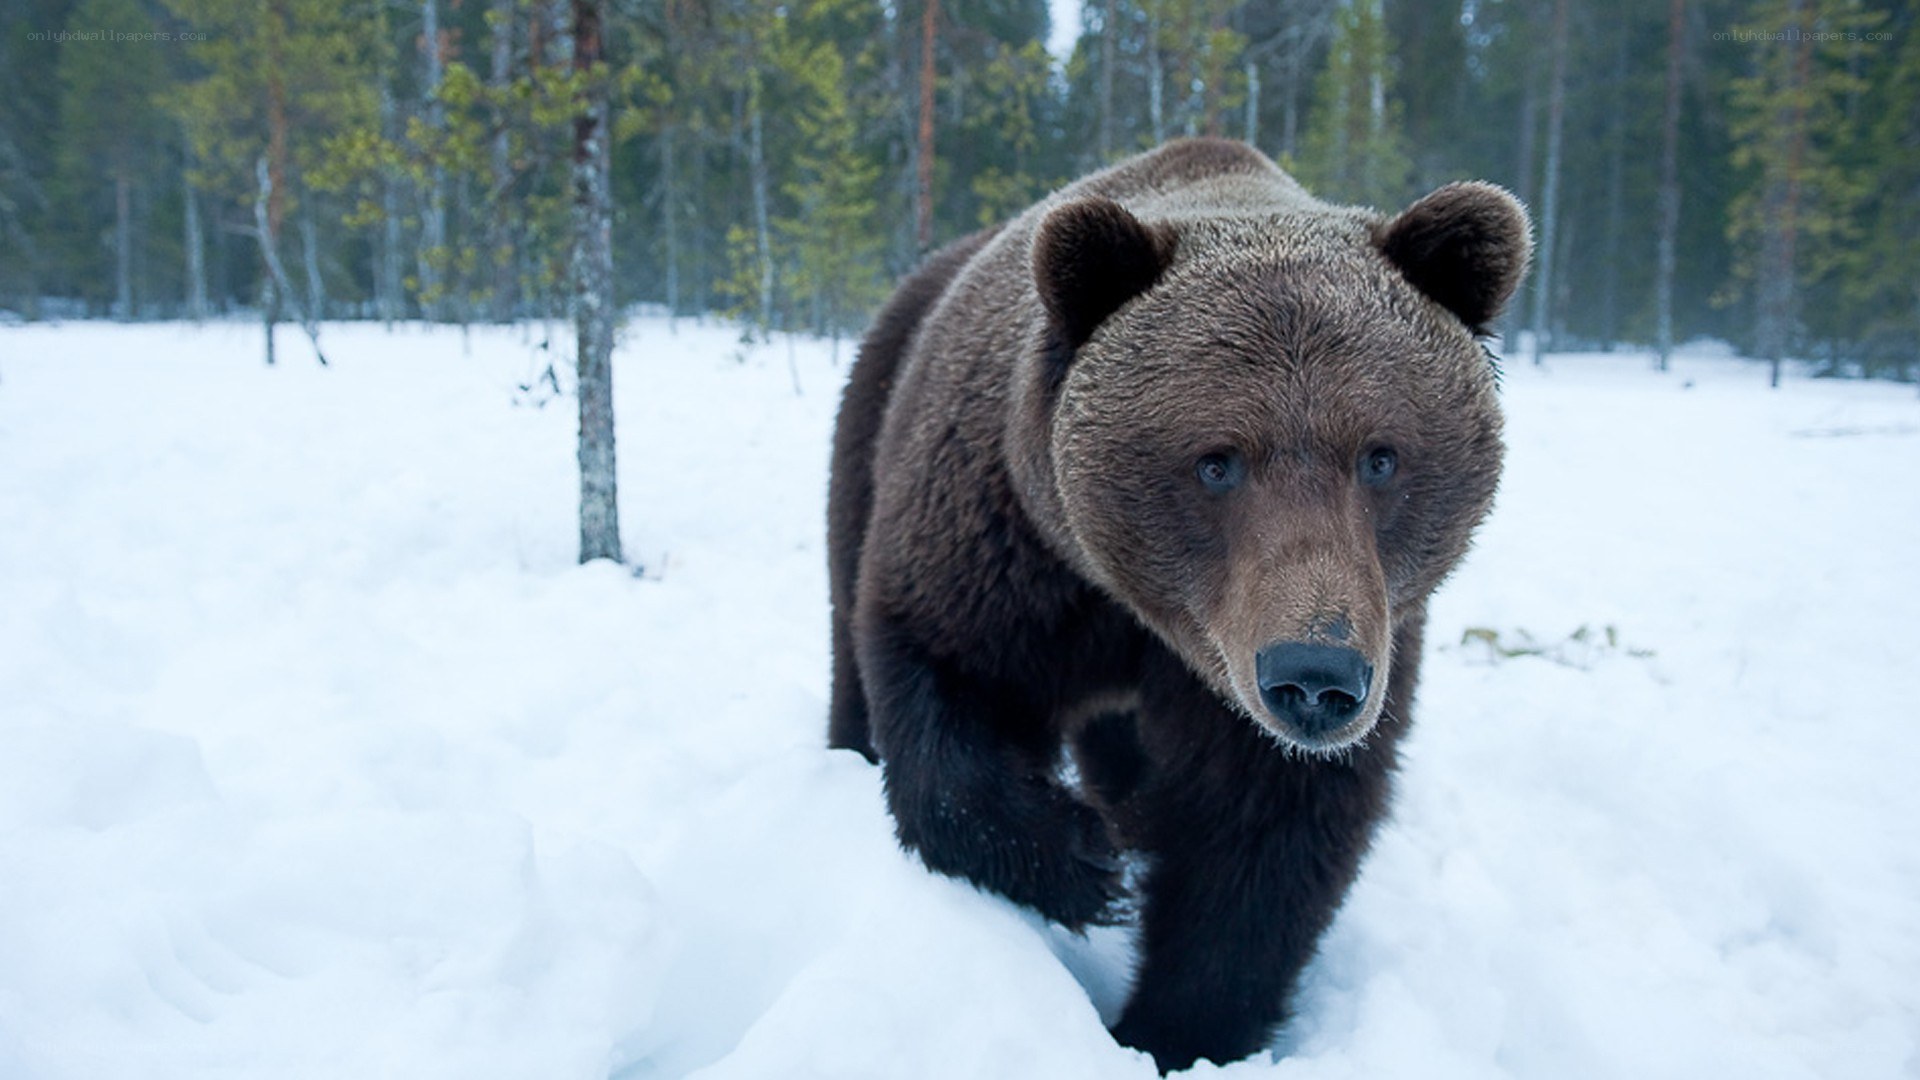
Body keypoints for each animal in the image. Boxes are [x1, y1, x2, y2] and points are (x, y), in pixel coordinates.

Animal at [827, 137, 1529, 1072]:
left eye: (1381, 456)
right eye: (1215, 460)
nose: (1314, 675)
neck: (1140, 612)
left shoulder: (1352, 638)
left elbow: (1260, 841)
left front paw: (1180, 1031)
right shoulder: (1007, 549)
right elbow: (945, 677)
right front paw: (1081, 865)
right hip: (868, 422)